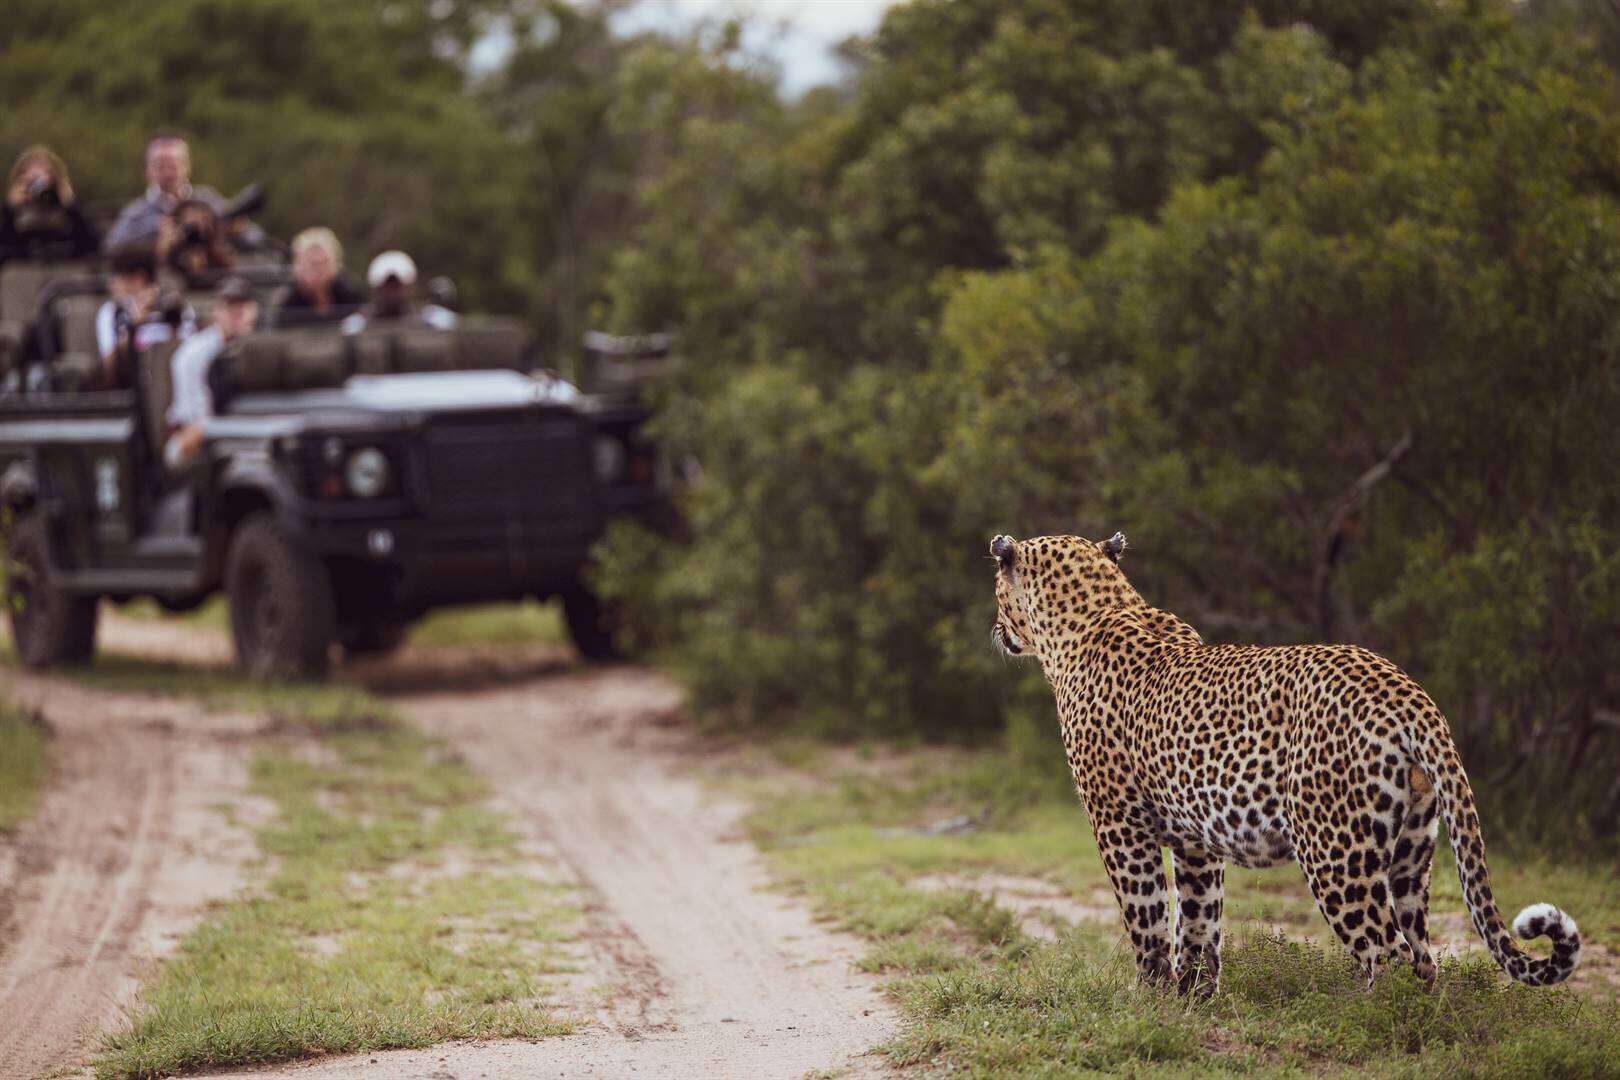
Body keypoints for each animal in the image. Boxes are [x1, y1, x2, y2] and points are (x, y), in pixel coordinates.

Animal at [984, 531, 1581, 997]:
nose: (995, 629)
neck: (1095, 612)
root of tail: (1407, 692)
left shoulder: (1119, 827)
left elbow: (1147, 917)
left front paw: (1147, 995)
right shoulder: (1196, 841)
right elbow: (1199, 921)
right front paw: (1192, 997)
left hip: (1336, 853)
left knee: (1386, 952)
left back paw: (1365, 1020)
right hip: (1412, 848)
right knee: (1422, 955)